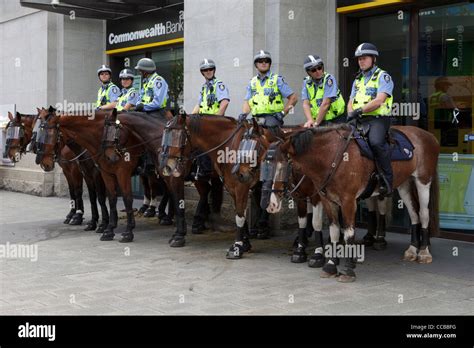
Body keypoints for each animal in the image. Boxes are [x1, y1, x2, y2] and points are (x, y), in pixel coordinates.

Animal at [264, 123, 438, 282]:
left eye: (283, 166)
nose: (271, 205)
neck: (332, 157)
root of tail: (429, 135)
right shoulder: (327, 200)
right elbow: (334, 231)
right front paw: (330, 265)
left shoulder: (347, 201)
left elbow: (347, 233)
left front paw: (347, 270)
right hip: (404, 184)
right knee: (414, 214)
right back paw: (412, 249)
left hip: (423, 181)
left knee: (423, 214)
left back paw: (424, 252)